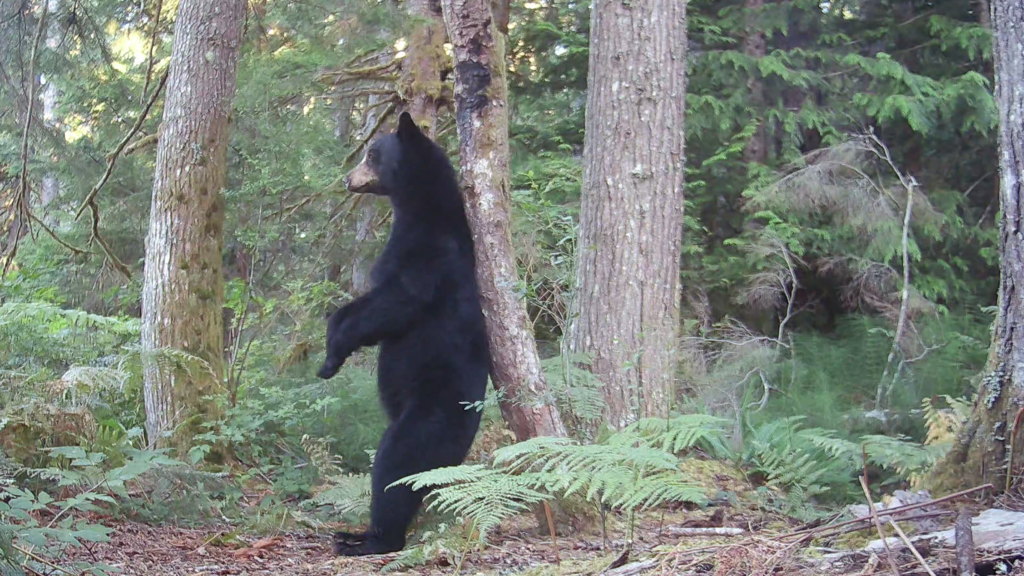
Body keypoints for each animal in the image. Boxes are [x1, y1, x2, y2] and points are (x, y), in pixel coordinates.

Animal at [317, 111, 491, 556]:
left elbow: (392, 305)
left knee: (394, 470)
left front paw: (330, 358)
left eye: (371, 153)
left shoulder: (428, 258)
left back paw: (368, 540)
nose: (348, 178)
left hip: (424, 423)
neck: (423, 211)